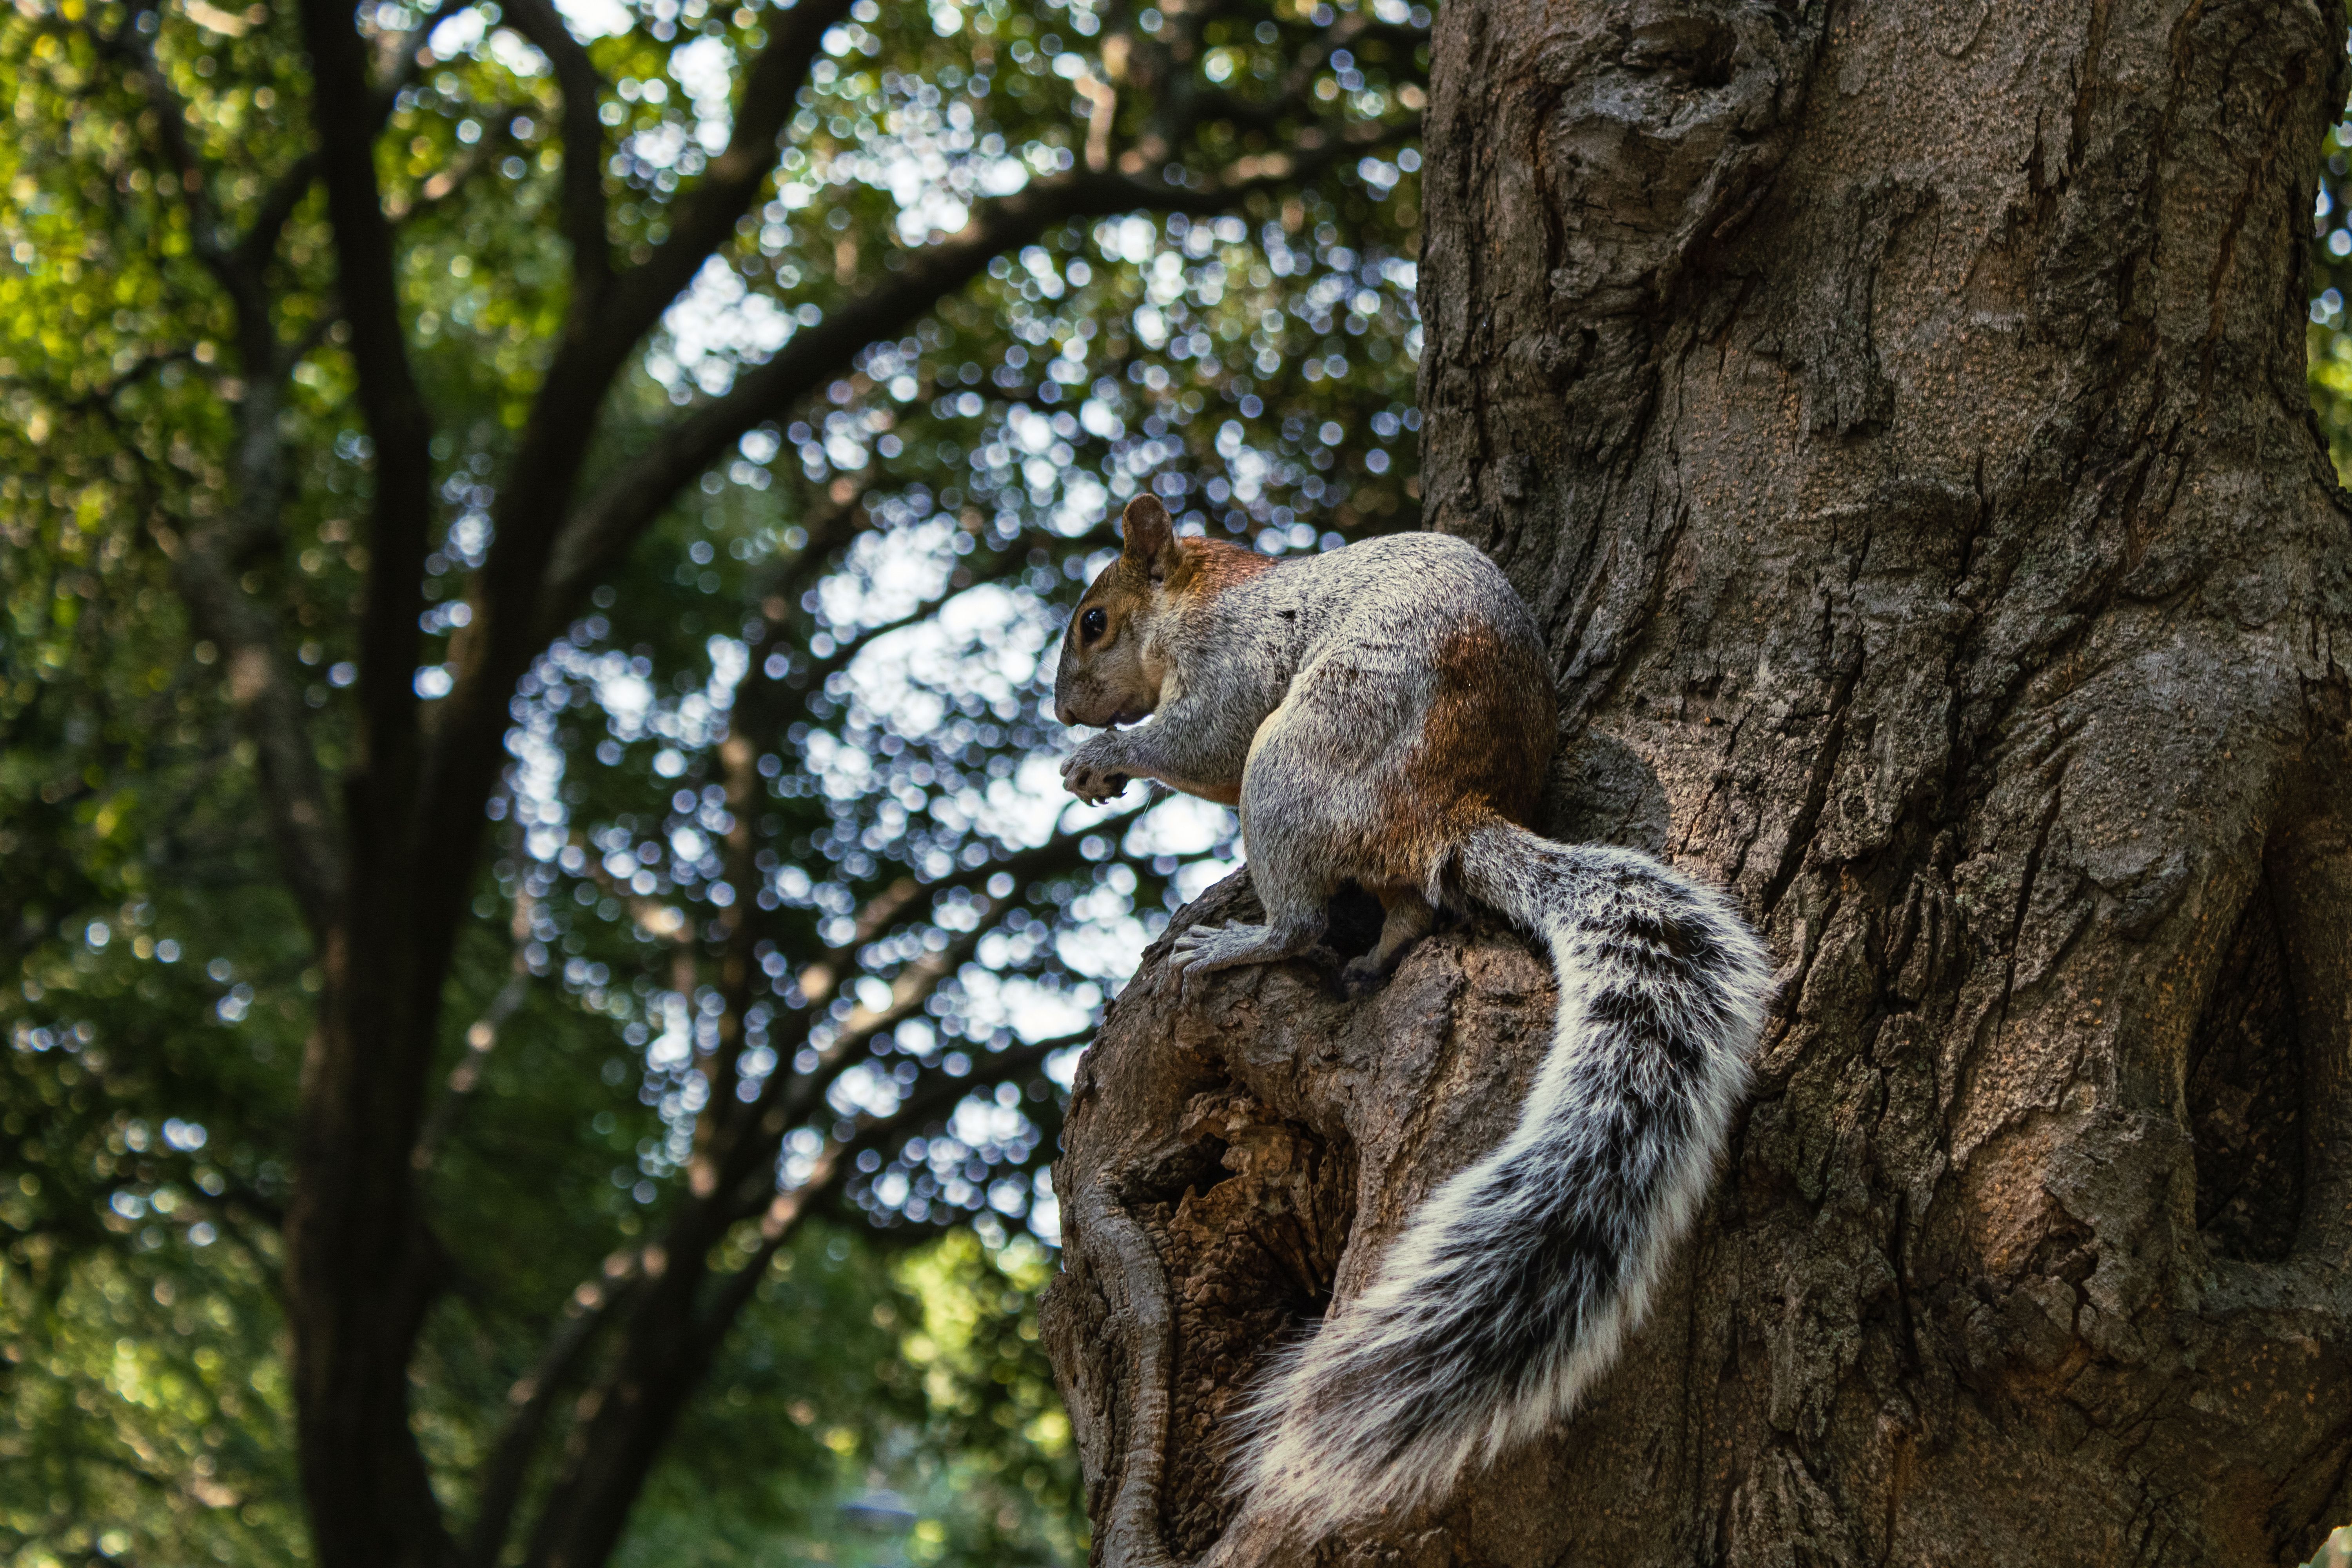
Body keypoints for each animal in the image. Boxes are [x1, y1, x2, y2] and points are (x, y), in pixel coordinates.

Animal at [1052, 495, 1771, 1537]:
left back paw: (1243, 942)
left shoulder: (1232, 668)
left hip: (1295, 766)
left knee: (1305, 915)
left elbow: (1203, 745)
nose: (1064, 710)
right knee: (1408, 908)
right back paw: (1378, 953)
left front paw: (1104, 756)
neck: (1208, 591)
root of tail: (1449, 811)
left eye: (1095, 621)